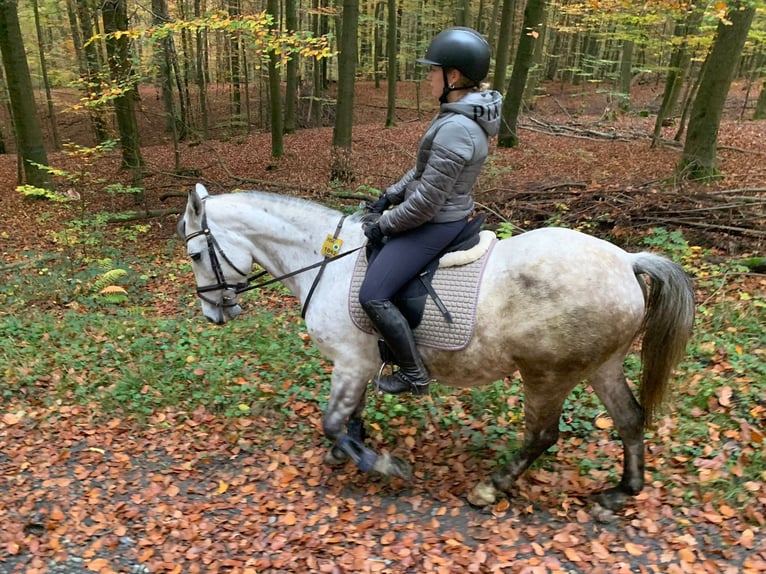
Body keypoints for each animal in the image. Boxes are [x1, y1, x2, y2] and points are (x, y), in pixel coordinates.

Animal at [178, 184, 696, 512]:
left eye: (196, 254)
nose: (213, 314)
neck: (327, 261)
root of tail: (626, 260)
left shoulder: (349, 363)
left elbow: (332, 422)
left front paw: (382, 464)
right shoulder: (359, 364)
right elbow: (351, 417)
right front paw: (350, 451)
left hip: (548, 374)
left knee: (542, 436)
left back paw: (490, 489)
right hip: (601, 365)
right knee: (629, 419)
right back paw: (621, 492)